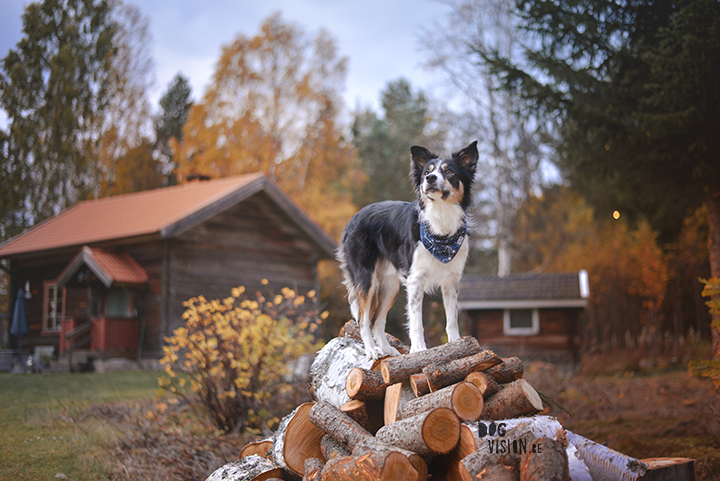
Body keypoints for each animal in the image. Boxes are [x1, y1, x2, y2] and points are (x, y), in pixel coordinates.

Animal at [338, 141, 478, 358]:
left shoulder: (451, 280)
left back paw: (387, 349)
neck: (441, 222)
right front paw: (419, 349)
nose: (430, 179)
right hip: (366, 278)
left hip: (390, 285)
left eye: (449, 171)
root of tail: (354, 217)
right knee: (363, 319)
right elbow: (416, 320)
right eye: (427, 172)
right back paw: (372, 350)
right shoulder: (415, 280)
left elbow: (452, 316)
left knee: (377, 320)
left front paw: (457, 344)